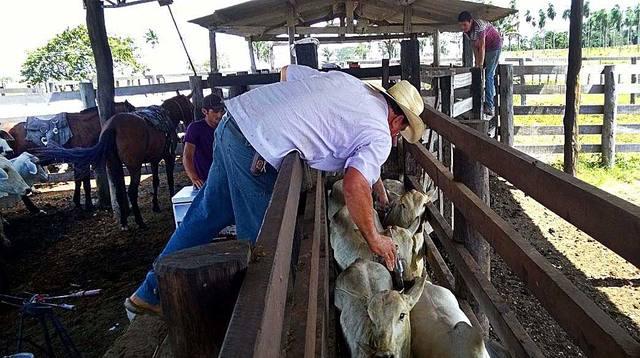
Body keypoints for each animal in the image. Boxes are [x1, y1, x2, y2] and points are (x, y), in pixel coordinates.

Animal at [2, 100, 135, 211]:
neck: (85, 127)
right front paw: (88, 205)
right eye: (133, 113)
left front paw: (78, 202)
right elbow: (85, 183)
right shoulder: (81, 162)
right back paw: (34, 209)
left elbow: (78, 181)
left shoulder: (79, 161)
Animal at [34, 95, 192, 229]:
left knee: (118, 190)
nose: (190, 122)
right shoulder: (168, 156)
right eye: (189, 105)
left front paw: (156, 206)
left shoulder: (154, 160)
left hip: (114, 164)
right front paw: (170, 198)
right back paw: (140, 222)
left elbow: (155, 181)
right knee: (131, 192)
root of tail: (112, 126)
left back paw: (123, 221)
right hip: (134, 168)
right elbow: (169, 180)